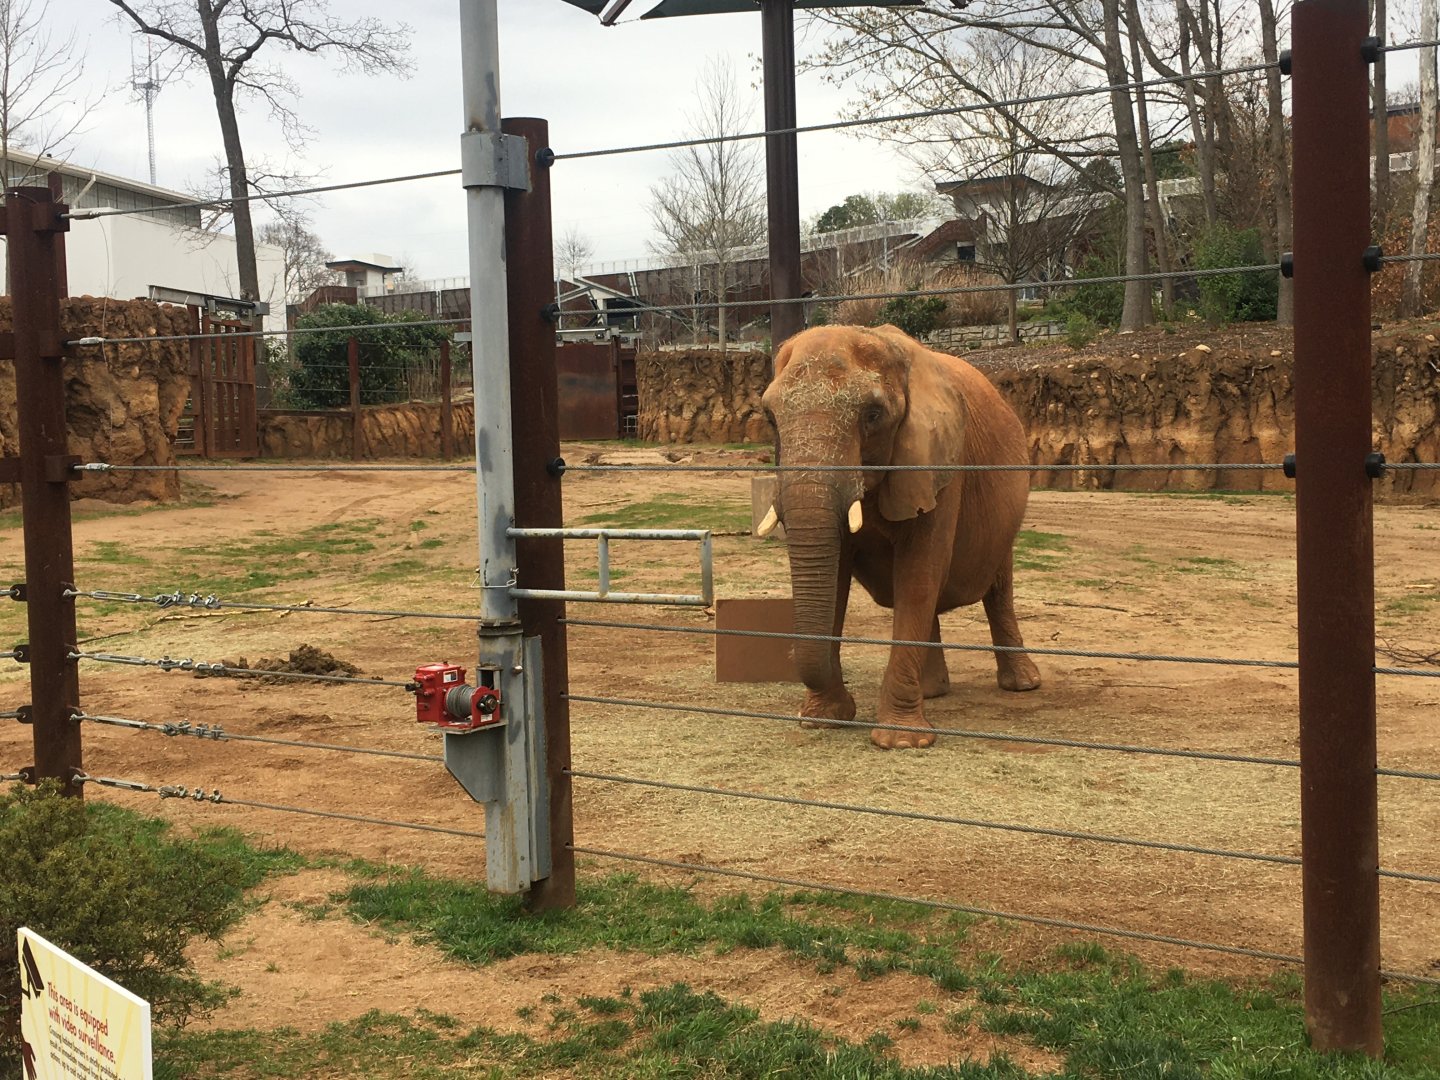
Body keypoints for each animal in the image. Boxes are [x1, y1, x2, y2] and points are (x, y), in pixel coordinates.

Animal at [757, 323, 1041, 749]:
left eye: (873, 415)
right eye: (771, 419)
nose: (849, 705)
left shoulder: (939, 462)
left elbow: (919, 574)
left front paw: (900, 743)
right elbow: (837, 576)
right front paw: (824, 720)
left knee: (997, 588)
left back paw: (1023, 684)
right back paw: (933, 691)